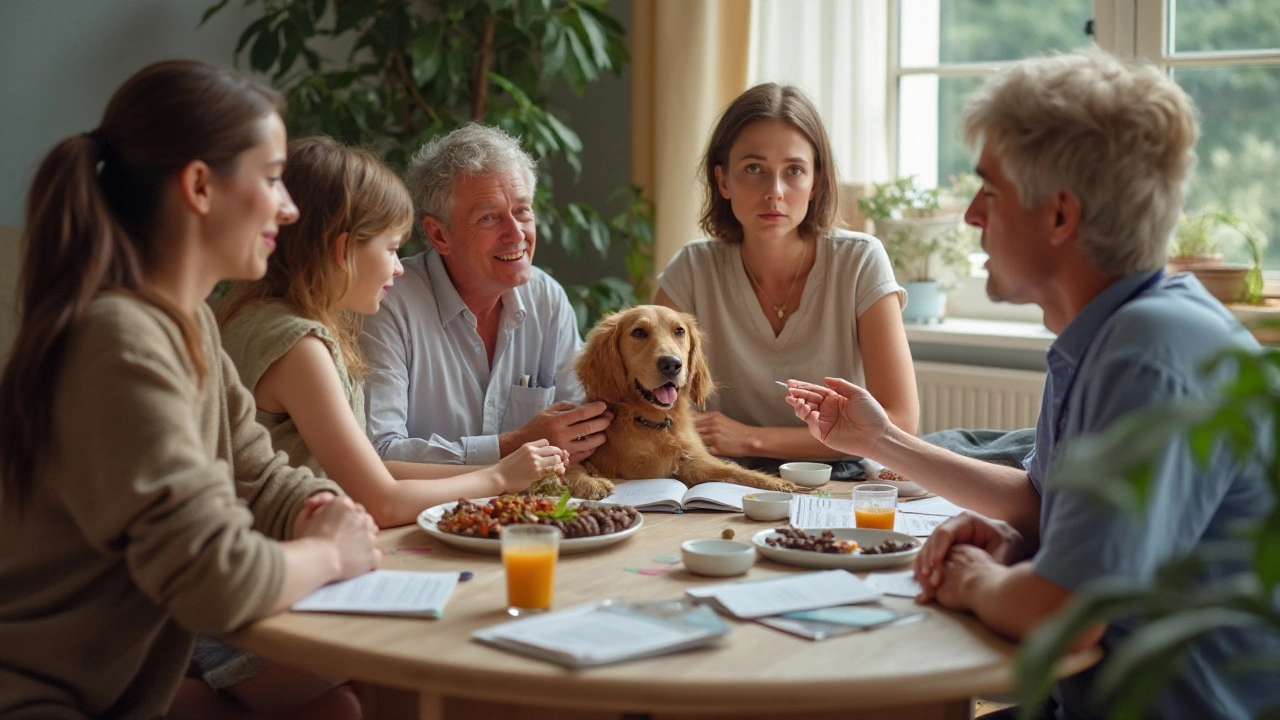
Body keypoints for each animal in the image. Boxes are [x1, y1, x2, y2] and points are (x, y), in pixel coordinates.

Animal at [568, 302, 798, 499]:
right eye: (639, 332)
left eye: (679, 331)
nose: (671, 364)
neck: (654, 424)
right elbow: (571, 464)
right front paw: (590, 483)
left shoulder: (691, 462)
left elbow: (733, 470)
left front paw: (777, 483)